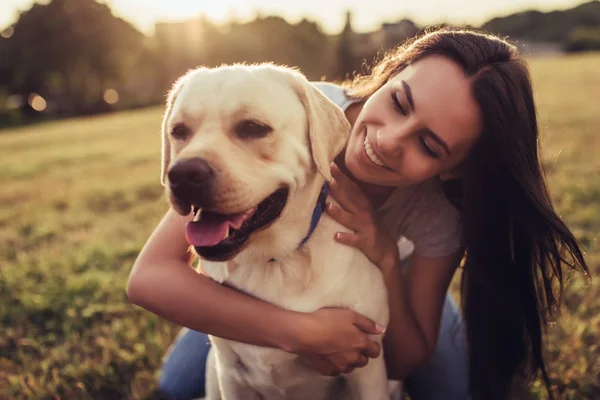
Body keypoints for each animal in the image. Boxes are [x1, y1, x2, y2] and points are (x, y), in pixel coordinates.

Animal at [162, 64, 392, 398]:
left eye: (253, 128)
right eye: (179, 131)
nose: (183, 174)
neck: (275, 262)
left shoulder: (368, 367)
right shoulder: (229, 373)